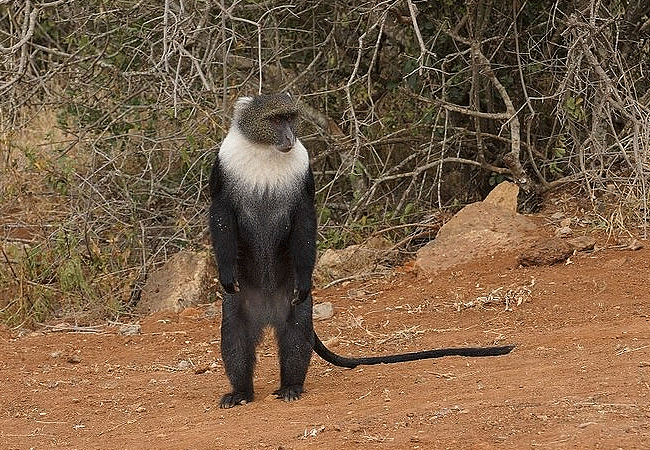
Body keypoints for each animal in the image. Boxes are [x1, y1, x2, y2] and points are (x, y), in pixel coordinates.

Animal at [208, 93, 512, 410]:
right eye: (276, 119)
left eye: (291, 118)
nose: (290, 136)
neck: (265, 151)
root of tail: (268, 313)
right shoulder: (223, 167)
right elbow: (221, 213)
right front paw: (226, 273)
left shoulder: (303, 174)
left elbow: (304, 219)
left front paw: (304, 279)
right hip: (241, 302)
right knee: (234, 332)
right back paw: (241, 392)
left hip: (291, 302)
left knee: (296, 331)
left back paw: (291, 386)